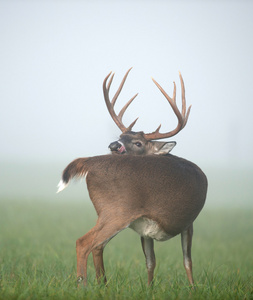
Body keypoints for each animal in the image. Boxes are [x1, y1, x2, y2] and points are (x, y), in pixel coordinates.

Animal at [57, 68, 208, 288]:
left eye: (138, 143)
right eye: (121, 136)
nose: (113, 145)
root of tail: (91, 161)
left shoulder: (146, 228)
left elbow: (151, 262)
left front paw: (150, 289)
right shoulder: (189, 222)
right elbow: (187, 261)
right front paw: (193, 289)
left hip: (107, 212)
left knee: (97, 246)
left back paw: (103, 285)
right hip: (117, 210)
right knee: (84, 242)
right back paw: (83, 286)